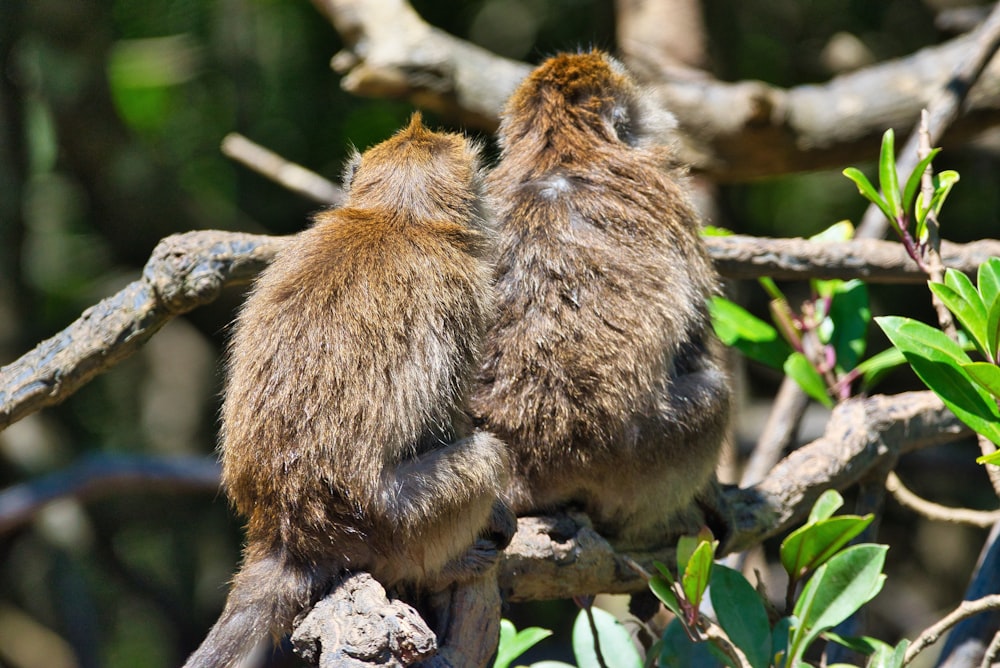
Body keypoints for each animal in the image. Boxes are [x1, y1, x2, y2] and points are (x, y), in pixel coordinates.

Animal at [184, 115, 516, 668]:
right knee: (488, 456)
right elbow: (446, 413)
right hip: (397, 527)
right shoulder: (465, 291)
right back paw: (447, 565)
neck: (399, 215)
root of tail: (286, 535)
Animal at [472, 51, 732, 552]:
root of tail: (523, 473)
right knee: (715, 393)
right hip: (638, 461)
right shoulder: (671, 197)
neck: (560, 148)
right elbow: (691, 337)